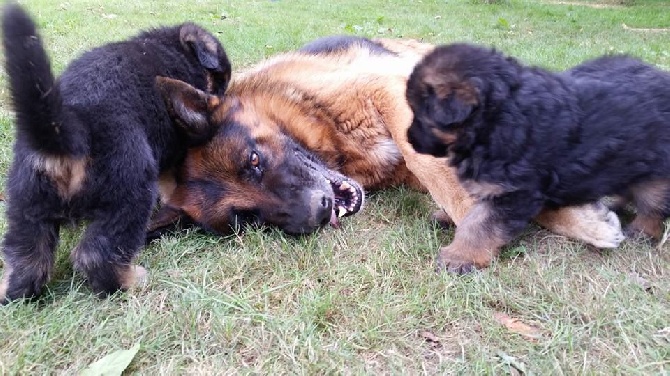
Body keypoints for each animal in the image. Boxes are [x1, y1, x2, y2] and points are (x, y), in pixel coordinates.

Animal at [0, 3, 232, 302]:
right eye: (220, 80)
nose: (220, 102)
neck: (170, 46)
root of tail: (69, 134)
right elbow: (170, 177)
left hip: (26, 203)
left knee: (27, 258)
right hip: (130, 191)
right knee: (96, 255)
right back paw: (131, 281)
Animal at [406, 43, 668, 274]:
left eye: (421, 115)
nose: (409, 140)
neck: (495, 121)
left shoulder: (513, 193)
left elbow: (478, 224)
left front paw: (459, 257)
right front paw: (446, 217)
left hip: (656, 175)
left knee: (653, 206)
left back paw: (641, 232)